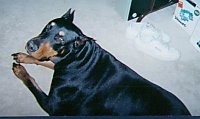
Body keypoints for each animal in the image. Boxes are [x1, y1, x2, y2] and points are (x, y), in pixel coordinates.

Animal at [11, 8, 191, 115]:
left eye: (60, 38)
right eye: (48, 26)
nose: (30, 45)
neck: (77, 58)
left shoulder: (53, 105)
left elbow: (32, 84)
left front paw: (20, 70)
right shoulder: (60, 61)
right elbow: (43, 60)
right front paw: (23, 57)